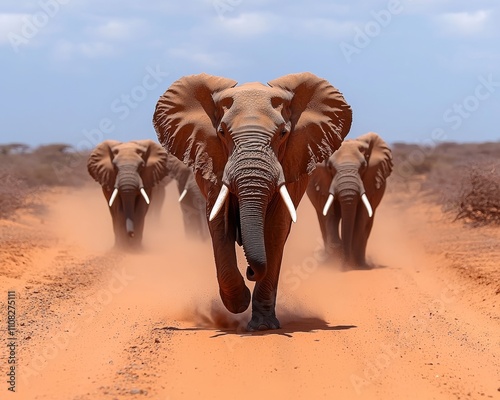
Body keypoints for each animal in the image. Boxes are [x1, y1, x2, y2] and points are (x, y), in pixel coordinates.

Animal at [152, 72, 352, 332]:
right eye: (222, 132)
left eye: (283, 133)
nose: (250, 271)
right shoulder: (214, 161)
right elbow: (219, 224)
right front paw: (239, 304)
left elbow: (276, 229)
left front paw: (263, 326)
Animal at [306, 132, 392, 268]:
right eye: (330, 167)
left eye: (363, 167)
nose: (344, 266)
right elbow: (330, 215)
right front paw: (338, 253)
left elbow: (361, 218)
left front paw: (354, 264)